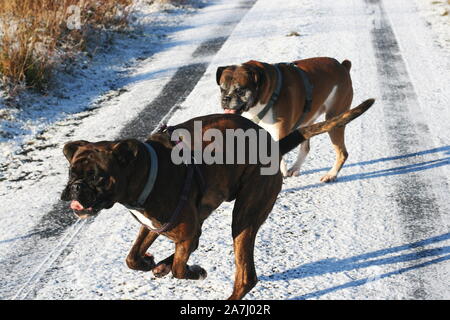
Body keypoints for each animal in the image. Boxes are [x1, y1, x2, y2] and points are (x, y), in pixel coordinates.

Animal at [61, 98, 374, 300]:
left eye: (98, 176)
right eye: (71, 172)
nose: (75, 188)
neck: (147, 169)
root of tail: (273, 146)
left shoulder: (185, 231)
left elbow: (180, 268)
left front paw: (192, 271)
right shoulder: (153, 225)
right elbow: (132, 257)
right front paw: (150, 261)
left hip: (244, 218)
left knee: (246, 277)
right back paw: (161, 263)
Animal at [216, 57, 354, 181]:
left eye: (240, 90)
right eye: (222, 89)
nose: (225, 99)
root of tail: (343, 67)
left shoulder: (280, 133)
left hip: (335, 119)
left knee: (342, 153)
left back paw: (331, 175)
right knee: (305, 147)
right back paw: (295, 168)